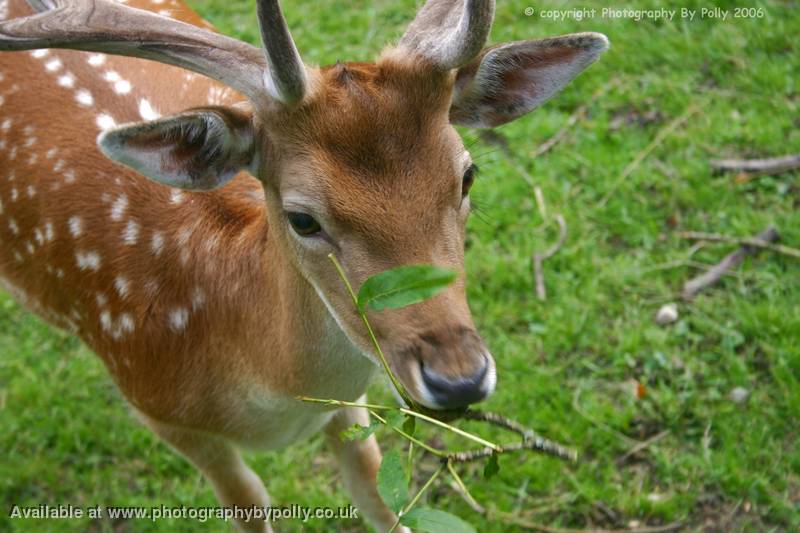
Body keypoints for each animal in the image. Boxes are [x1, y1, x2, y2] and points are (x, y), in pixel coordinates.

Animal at [0, 2, 608, 528]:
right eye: (302, 218)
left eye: (467, 175)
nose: (459, 379)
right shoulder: (157, 411)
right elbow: (249, 502)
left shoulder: (350, 404)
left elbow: (378, 493)